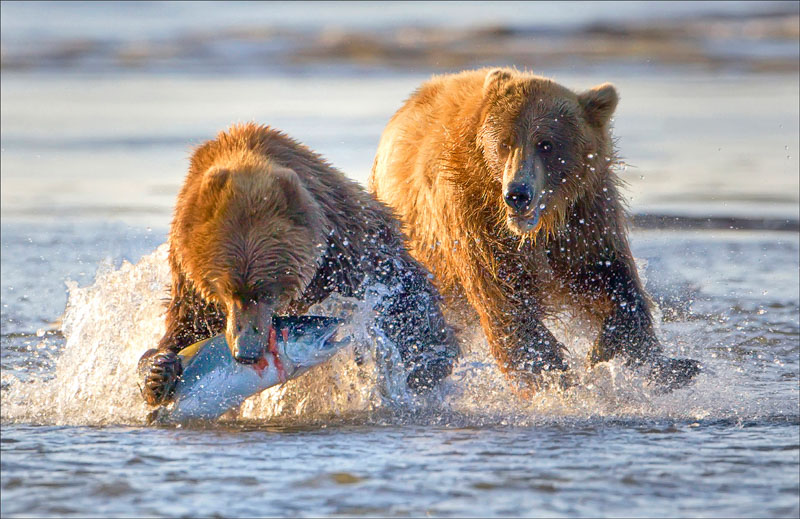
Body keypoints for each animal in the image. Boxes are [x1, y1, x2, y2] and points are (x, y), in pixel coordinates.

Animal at [138, 122, 459, 406]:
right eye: (226, 290)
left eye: (266, 290)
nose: (246, 353)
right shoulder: (189, 278)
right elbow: (184, 330)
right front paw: (158, 372)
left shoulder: (349, 256)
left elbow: (400, 312)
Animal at [369, 67, 699, 392]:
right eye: (504, 143)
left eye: (546, 144)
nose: (517, 194)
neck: (537, 228)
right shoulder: (472, 218)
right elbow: (504, 296)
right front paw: (550, 375)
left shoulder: (583, 217)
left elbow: (609, 276)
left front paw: (645, 359)